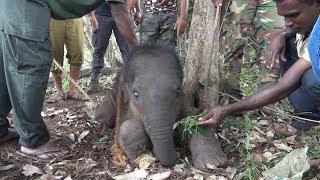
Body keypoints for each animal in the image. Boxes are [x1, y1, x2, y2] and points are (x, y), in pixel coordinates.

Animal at [97, 44, 228, 169]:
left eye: (178, 90)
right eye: (135, 94)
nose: (177, 155)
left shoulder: (182, 100)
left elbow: (195, 119)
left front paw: (213, 162)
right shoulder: (126, 105)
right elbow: (126, 128)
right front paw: (139, 156)